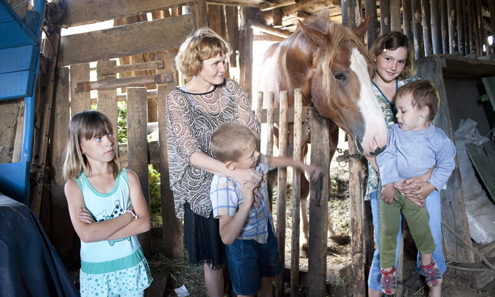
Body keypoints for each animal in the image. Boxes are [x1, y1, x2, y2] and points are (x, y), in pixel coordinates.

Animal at [258, 9, 390, 254]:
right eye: (338, 75)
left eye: (371, 71)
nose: (379, 137)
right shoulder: (293, 140)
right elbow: (302, 187)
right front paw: (304, 240)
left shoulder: (330, 138)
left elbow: (323, 185)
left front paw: (328, 233)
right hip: (277, 137)